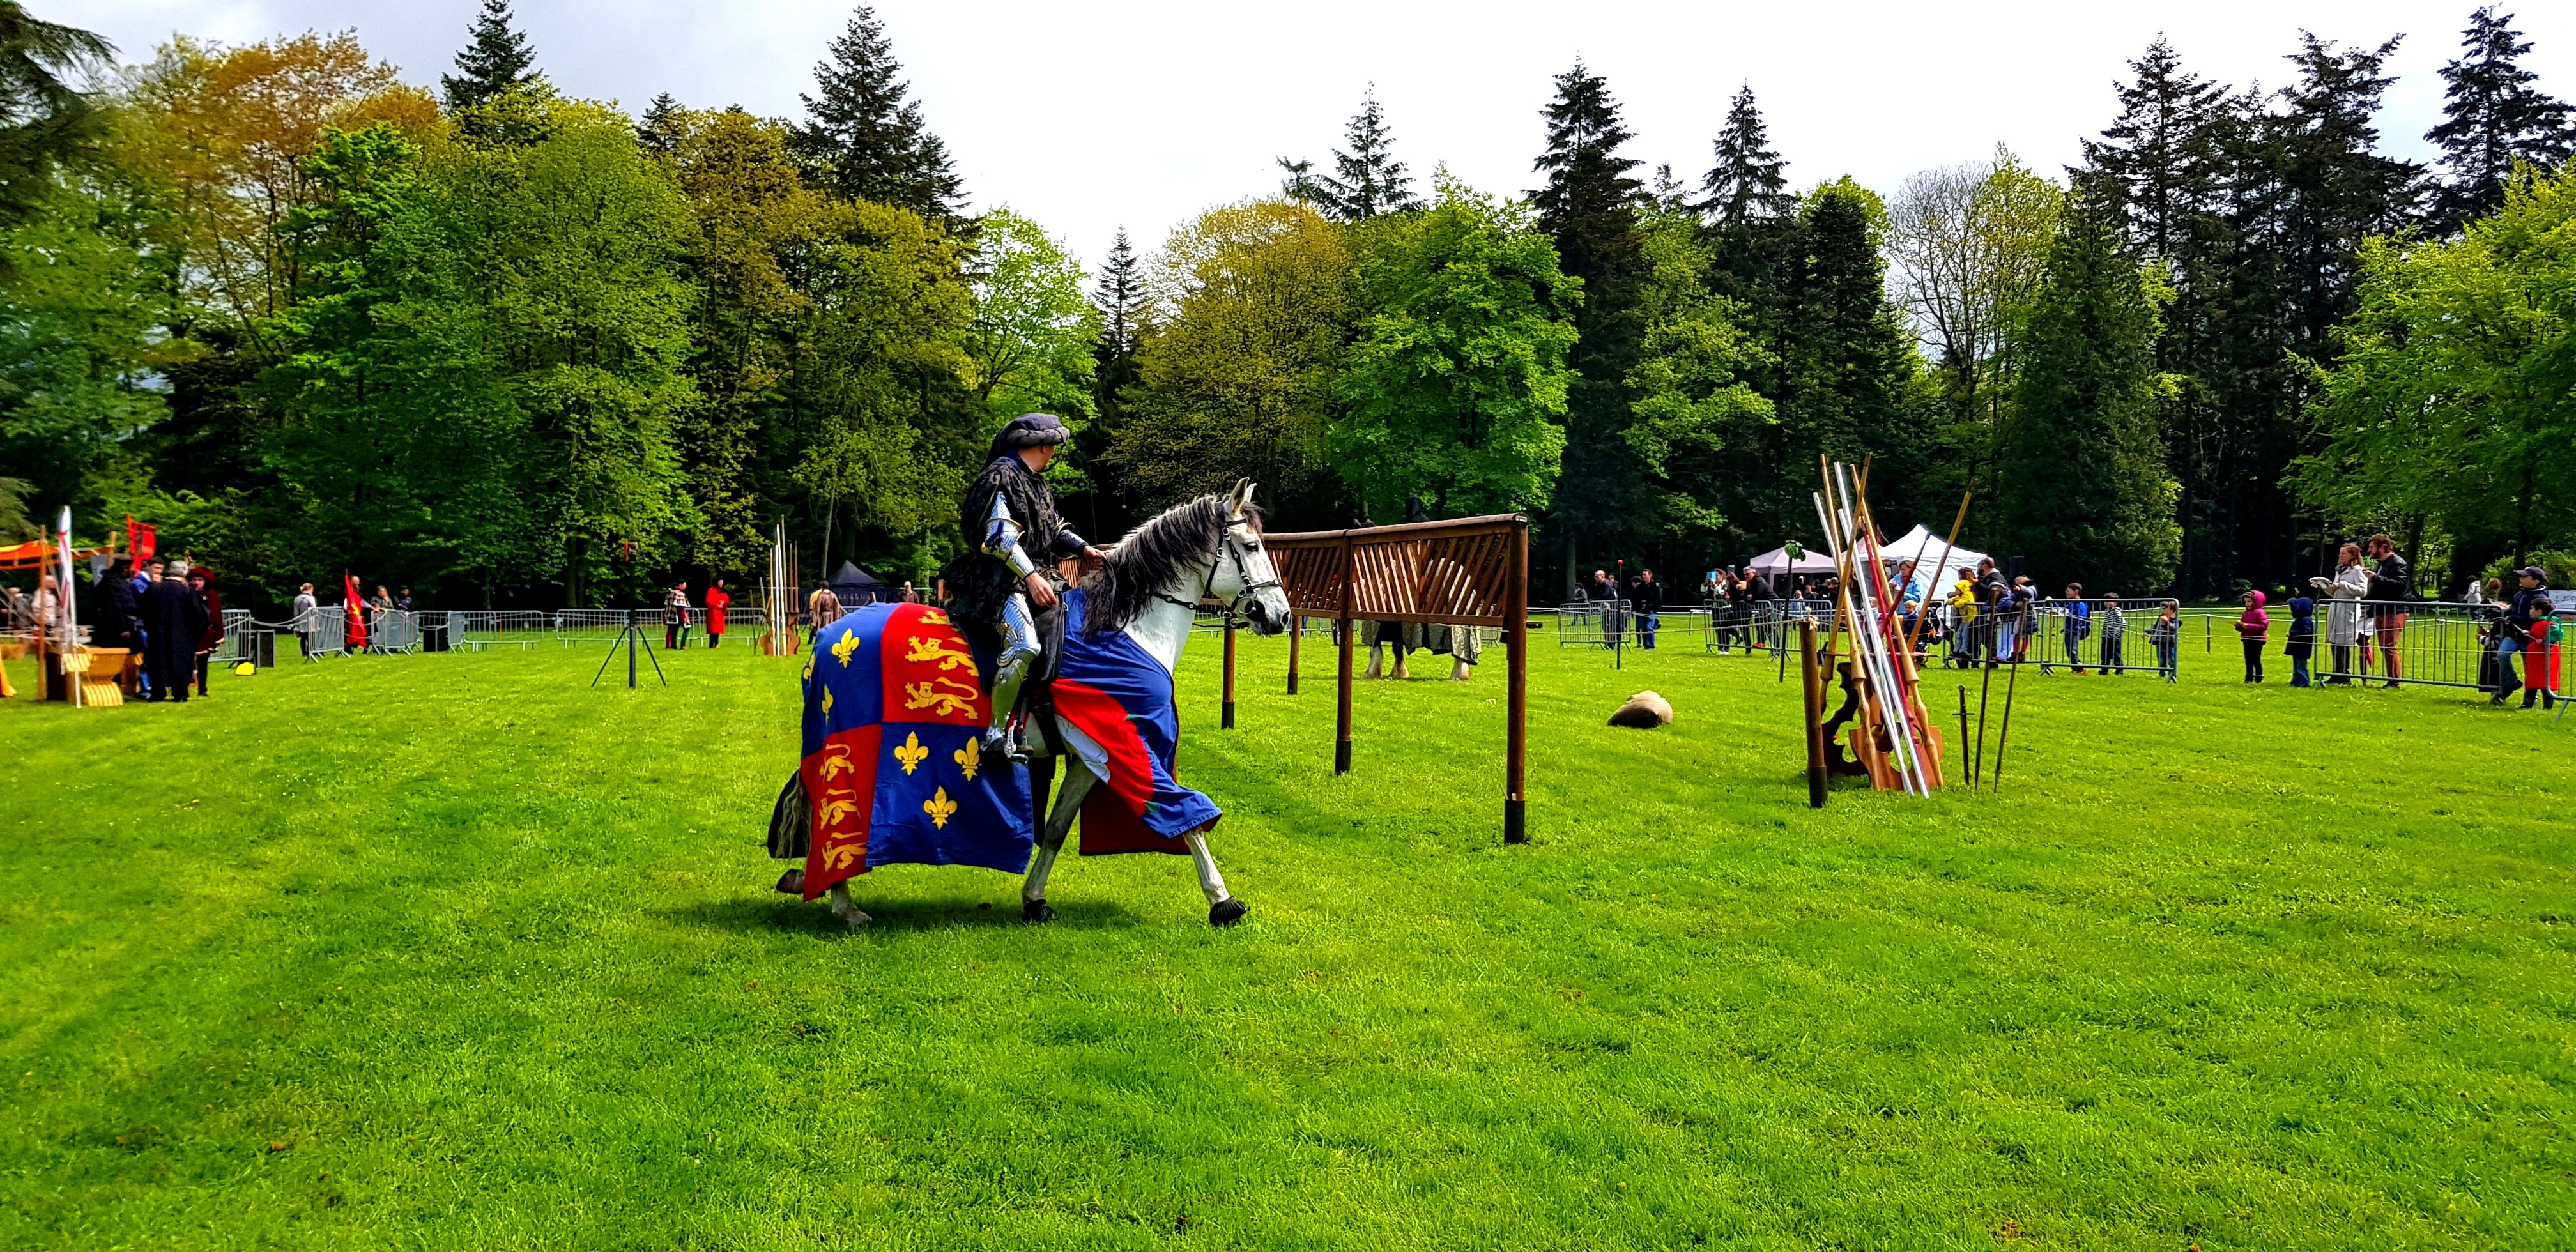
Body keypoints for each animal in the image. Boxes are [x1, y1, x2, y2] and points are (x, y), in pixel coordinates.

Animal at [814, 479, 1288, 927]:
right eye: (1251, 546)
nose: (1279, 615)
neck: (1123, 629)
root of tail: (833, 635)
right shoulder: (1129, 745)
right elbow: (1185, 815)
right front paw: (1222, 900)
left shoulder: (1090, 757)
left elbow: (1059, 827)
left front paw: (1034, 899)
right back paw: (844, 904)